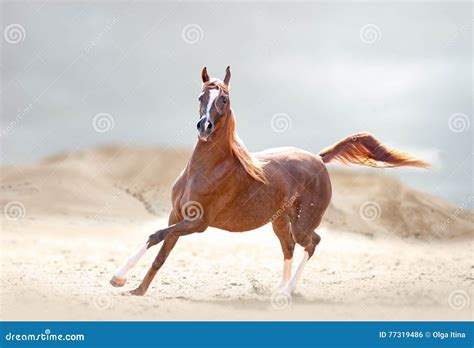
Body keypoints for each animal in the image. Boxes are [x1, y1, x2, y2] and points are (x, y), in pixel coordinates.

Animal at [109, 66, 428, 296]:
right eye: (200, 97)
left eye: (223, 99)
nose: (204, 127)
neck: (206, 170)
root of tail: (318, 159)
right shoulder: (177, 216)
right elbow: (160, 252)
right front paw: (136, 289)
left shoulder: (197, 223)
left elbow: (155, 236)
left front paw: (118, 278)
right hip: (280, 222)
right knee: (289, 247)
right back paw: (278, 290)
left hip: (303, 223)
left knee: (311, 243)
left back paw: (287, 291)